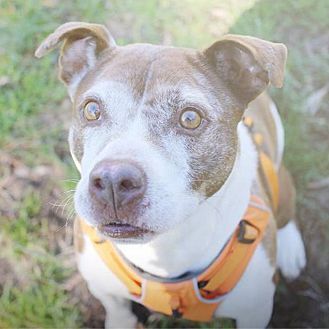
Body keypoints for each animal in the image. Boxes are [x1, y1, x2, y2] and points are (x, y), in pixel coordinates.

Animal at [35, 21, 304, 326]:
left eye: (190, 118)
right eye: (91, 110)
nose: (113, 181)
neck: (163, 250)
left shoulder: (255, 310)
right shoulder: (103, 286)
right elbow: (118, 310)